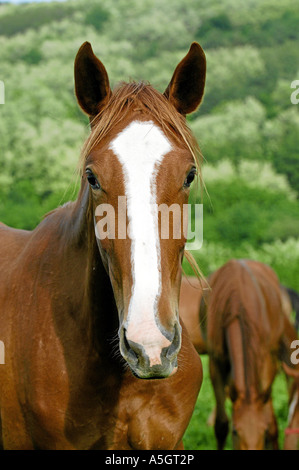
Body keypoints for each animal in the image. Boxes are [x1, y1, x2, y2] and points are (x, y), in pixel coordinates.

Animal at [199, 258, 292, 450]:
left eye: (262, 432)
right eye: (236, 432)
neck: (238, 306)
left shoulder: (265, 361)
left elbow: (271, 423)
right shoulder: (216, 363)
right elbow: (221, 425)